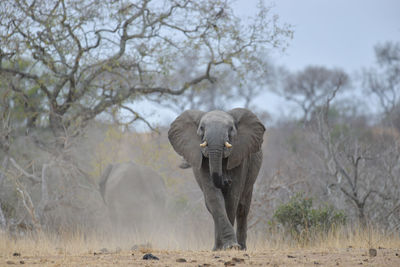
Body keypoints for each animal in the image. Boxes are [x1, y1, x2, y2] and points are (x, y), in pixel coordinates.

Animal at [168, 108, 266, 250]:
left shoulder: (240, 157)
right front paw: (226, 247)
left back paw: (242, 248)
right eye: (202, 128)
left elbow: (232, 198)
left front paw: (231, 247)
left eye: (231, 129)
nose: (226, 181)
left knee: (243, 208)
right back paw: (217, 247)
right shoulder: (203, 161)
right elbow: (214, 197)